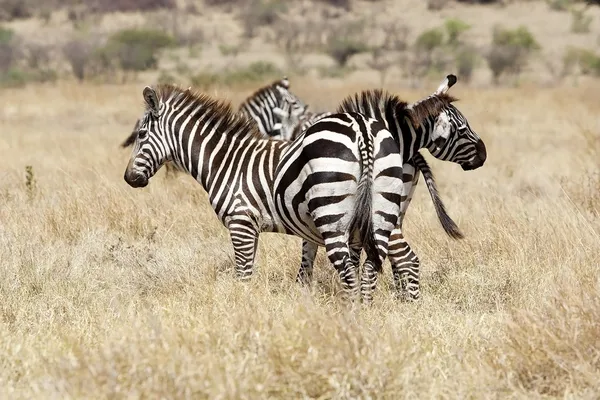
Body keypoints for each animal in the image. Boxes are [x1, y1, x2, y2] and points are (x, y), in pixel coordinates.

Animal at [124, 84, 406, 304]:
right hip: (381, 213)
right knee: (370, 268)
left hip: (331, 216)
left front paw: (242, 311)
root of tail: (361, 126)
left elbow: (243, 274)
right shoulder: (252, 227)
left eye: (141, 134)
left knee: (349, 272)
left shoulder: (241, 222)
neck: (225, 160)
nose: (129, 179)